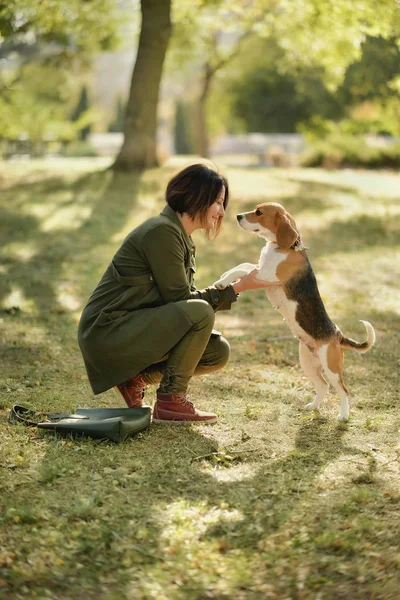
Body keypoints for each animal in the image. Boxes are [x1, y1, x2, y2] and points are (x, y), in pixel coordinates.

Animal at [216, 204, 376, 420]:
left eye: (259, 212)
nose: (238, 216)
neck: (286, 246)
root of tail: (337, 334)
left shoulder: (265, 275)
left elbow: (243, 269)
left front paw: (223, 281)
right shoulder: (261, 270)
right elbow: (244, 265)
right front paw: (224, 276)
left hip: (331, 367)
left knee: (343, 390)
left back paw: (343, 415)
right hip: (307, 363)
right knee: (323, 386)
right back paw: (313, 407)